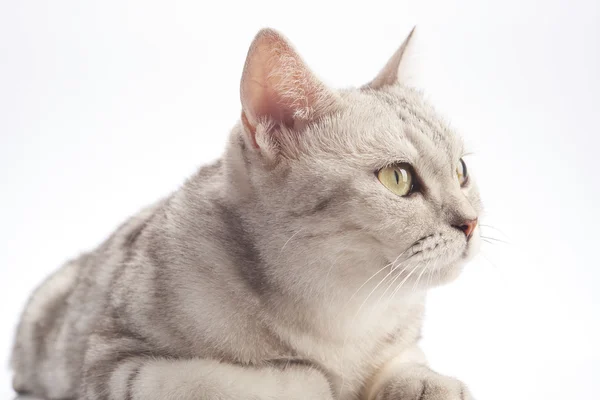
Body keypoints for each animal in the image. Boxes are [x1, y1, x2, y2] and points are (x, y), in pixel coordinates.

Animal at [10, 28, 482, 400]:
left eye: (461, 171)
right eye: (397, 178)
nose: (470, 222)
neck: (341, 318)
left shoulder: (399, 337)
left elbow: (406, 360)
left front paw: (427, 383)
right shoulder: (117, 364)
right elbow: (236, 380)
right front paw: (314, 379)